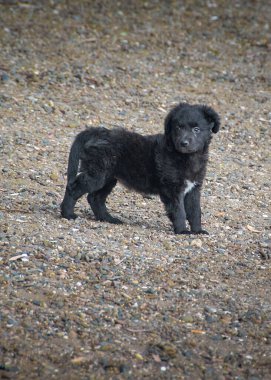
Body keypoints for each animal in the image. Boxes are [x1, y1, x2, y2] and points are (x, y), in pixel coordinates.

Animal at [60, 102, 220, 233]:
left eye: (196, 129)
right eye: (178, 127)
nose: (183, 143)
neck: (186, 157)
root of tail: (99, 132)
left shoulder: (194, 188)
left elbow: (195, 211)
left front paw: (198, 231)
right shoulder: (172, 189)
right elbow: (179, 211)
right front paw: (182, 231)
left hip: (108, 177)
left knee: (95, 198)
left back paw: (108, 219)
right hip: (97, 174)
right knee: (74, 188)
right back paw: (67, 214)